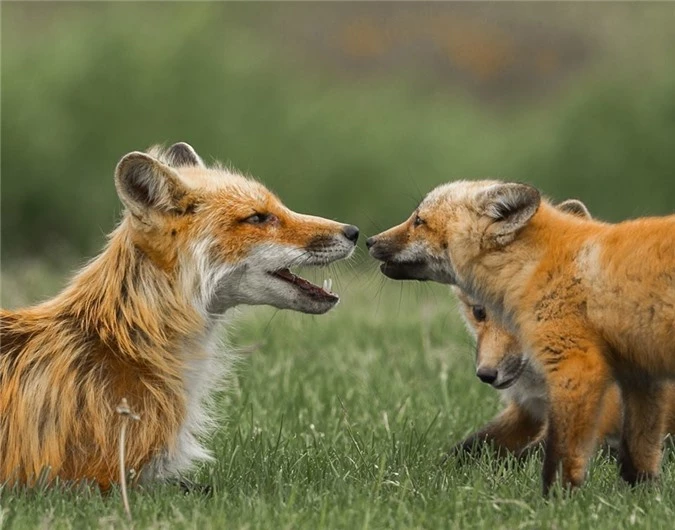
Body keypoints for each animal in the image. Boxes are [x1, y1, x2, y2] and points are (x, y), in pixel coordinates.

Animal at [370, 180, 675, 490]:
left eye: (419, 220)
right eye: (478, 312)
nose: (369, 240)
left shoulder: (598, 401)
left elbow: (532, 456)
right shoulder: (527, 409)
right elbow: (469, 446)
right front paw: (430, 470)